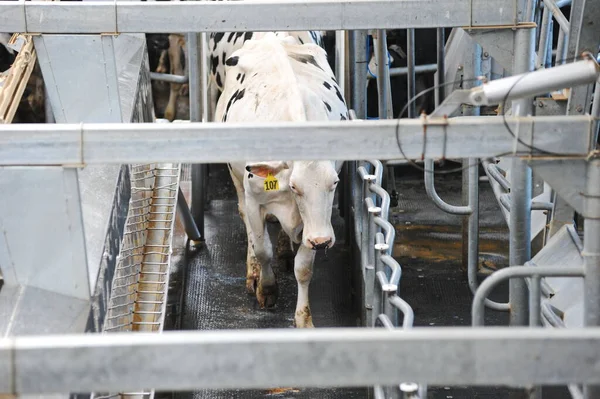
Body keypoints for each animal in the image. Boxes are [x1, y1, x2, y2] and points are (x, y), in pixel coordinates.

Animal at [214, 33, 346, 328]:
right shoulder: (255, 201)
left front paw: (304, 320)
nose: (323, 241)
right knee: (247, 223)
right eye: (295, 186)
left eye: (334, 183)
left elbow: (304, 268)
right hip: (236, 178)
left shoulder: (314, 222)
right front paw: (266, 289)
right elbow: (263, 249)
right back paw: (253, 271)